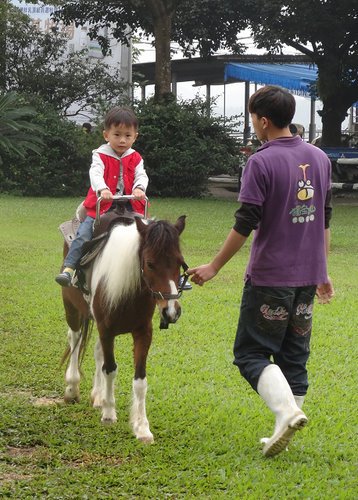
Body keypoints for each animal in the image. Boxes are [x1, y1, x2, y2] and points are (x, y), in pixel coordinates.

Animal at [60, 211, 187, 442]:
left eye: (180, 262)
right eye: (150, 263)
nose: (171, 311)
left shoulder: (143, 332)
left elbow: (140, 380)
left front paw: (142, 427)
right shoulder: (106, 329)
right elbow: (110, 369)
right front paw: (109, 413)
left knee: (97, 351)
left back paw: (98, 395)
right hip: (71, 307)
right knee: (74, 340)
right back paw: (72, 387)